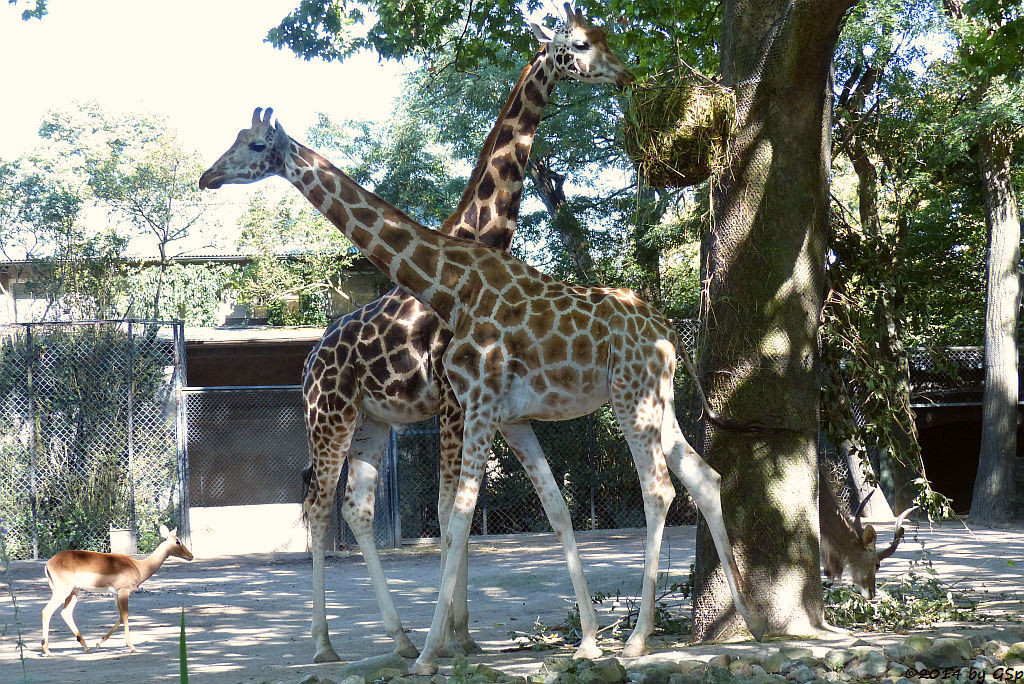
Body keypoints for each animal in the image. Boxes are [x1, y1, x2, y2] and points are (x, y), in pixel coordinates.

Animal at [40, 528, 192, 655]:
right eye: (177, 541)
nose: (191, 555)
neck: (139, 566)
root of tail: (49, 563)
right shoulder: (124, 591)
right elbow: (125, 616)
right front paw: (132, 646)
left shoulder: (115, 593)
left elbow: (120, 617)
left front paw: (98, 643)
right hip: (63, 592)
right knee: (47, 611)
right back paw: (47, 650)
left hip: (73, 592)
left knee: (65, 613)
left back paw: (87, 647)